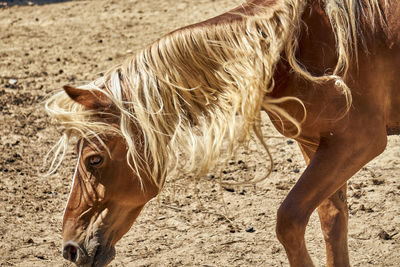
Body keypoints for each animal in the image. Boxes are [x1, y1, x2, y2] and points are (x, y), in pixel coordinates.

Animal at [45, 0, 398, 267]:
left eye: (93, 160)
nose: (70, 248)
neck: (295, 47)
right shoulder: (316, 144)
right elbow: (332, 221)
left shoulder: (356, 143)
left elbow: (289, 220)